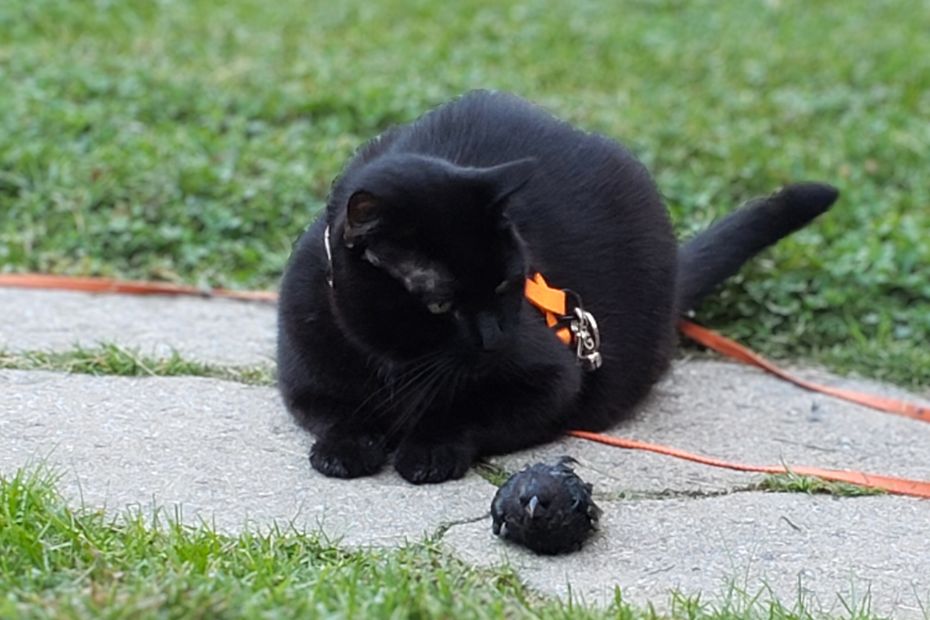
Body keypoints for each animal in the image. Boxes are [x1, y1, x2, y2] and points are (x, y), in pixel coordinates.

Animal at [274, 89, 832, 484]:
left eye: (506, 284)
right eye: (439, 303)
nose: (494, 339)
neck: (397, 364)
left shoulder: (553, 380)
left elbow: (468, 413)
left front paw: (429, 448)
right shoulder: (303, 375)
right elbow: (336, 413)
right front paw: (347, 447)